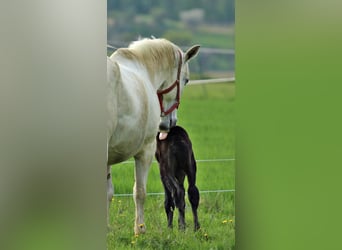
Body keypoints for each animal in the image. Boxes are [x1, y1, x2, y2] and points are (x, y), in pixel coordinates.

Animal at [105, 37, 199, 234]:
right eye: (186, 80)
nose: (170, 122)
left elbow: (108, 193)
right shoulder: (146, 151)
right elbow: (140, 192)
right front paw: (140, 230)